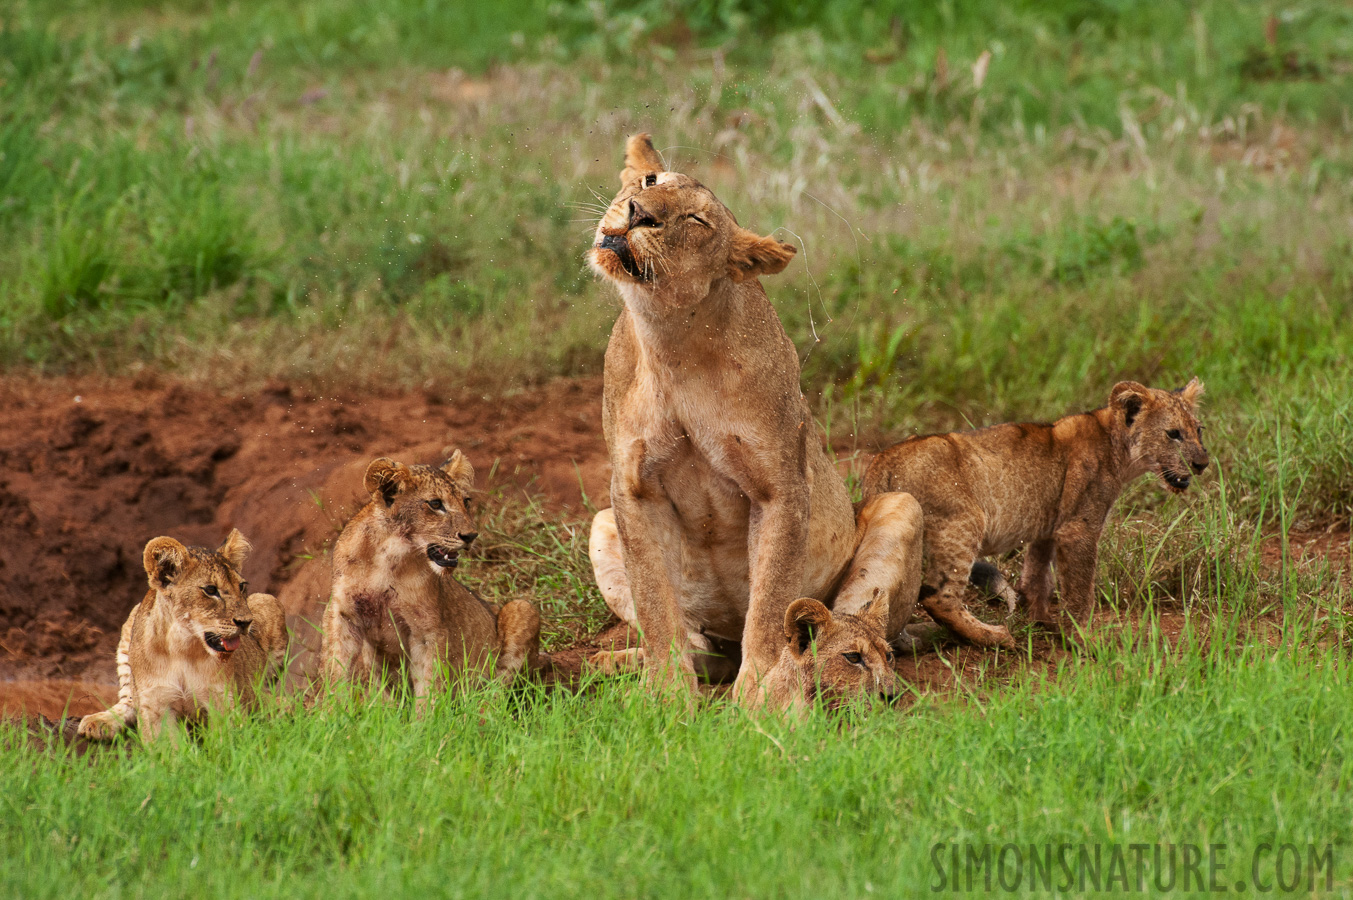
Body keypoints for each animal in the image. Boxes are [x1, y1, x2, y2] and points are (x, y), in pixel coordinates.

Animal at [587, 133, 925, 703]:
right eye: (651, 181)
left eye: (696, 221)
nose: (637, 213)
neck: (672, 341)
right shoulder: (632, 490)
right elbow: (656, 604)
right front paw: (666, 695)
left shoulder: (780, 487)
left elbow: (770, 601)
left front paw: (757, 695)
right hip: (601, 524)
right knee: (701, 647)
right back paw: (618, 662)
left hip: (902, 509)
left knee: (850, 627)